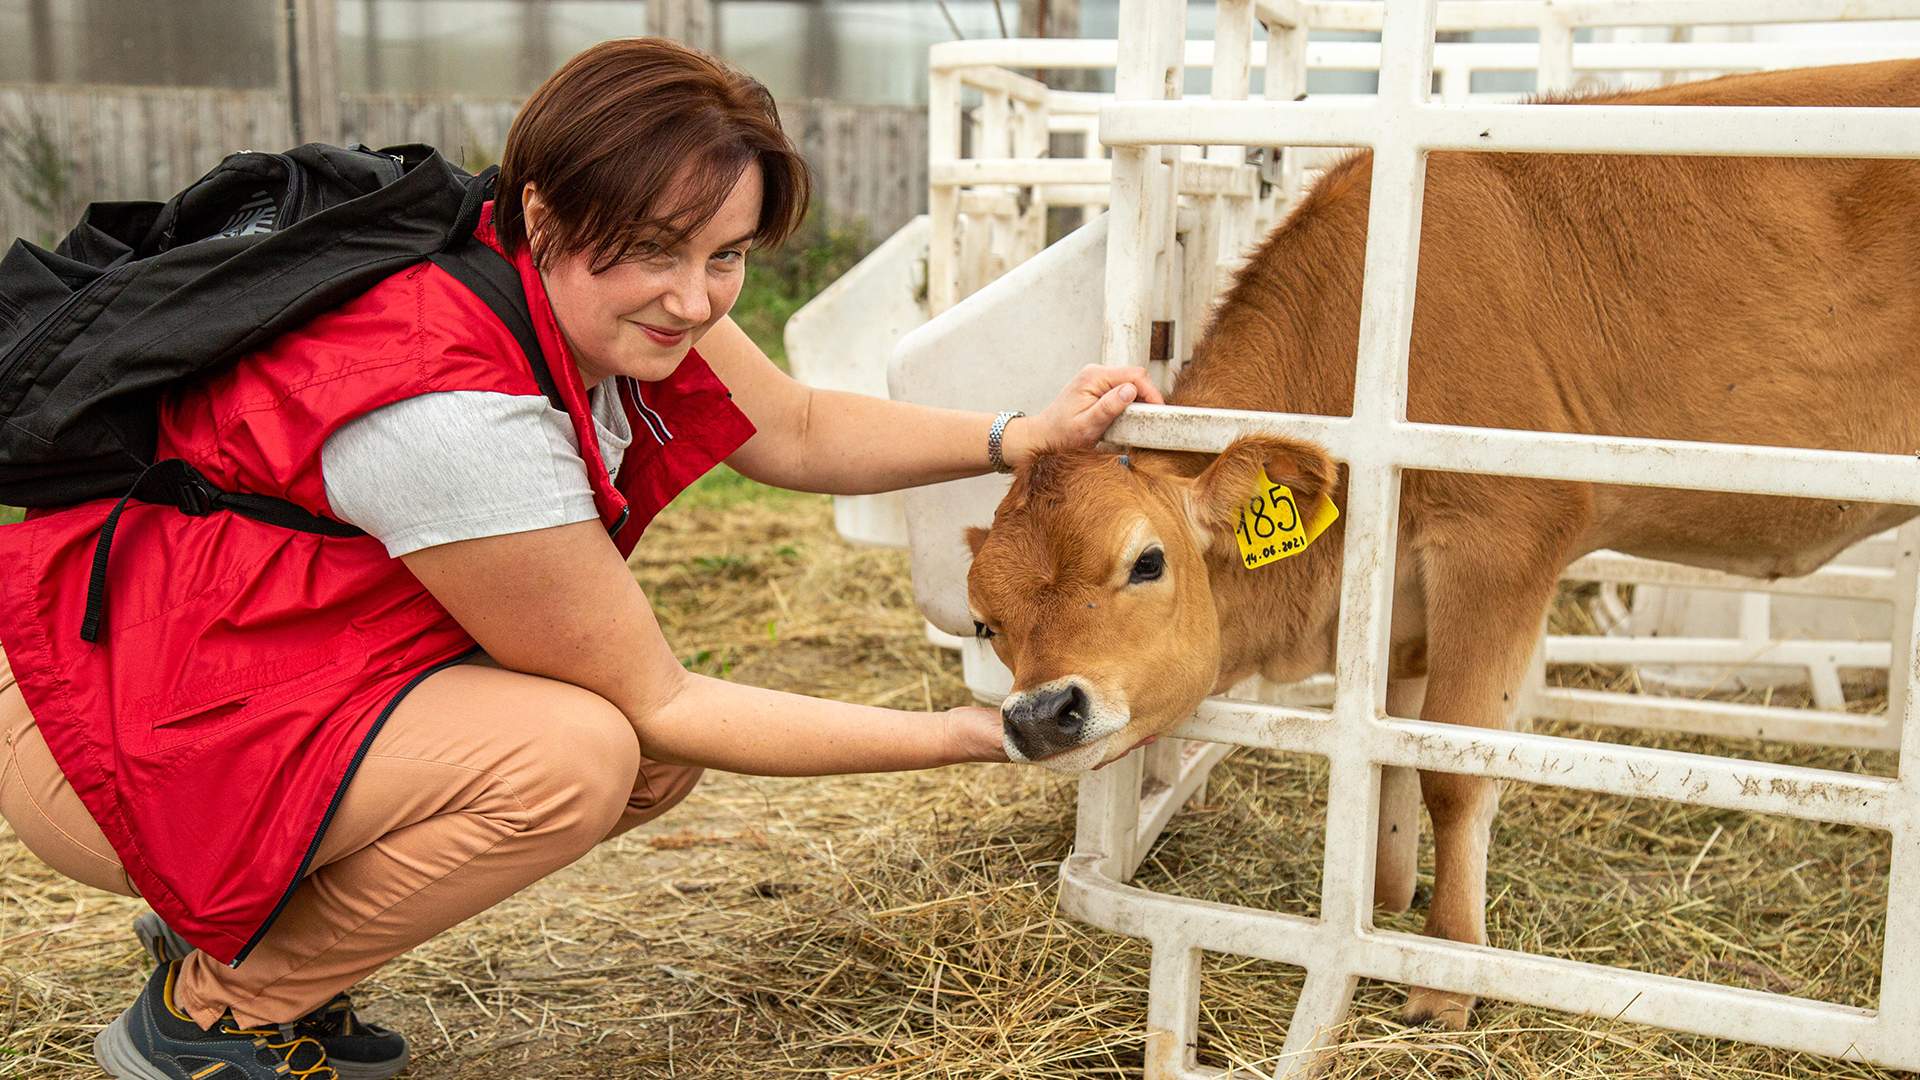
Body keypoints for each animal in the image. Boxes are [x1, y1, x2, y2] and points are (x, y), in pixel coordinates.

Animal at [967, 61, 1920, 1022]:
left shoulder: (1499, 543)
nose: (1039, 715)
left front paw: (1444, 973)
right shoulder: (1399, 602)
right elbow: (1388, 749)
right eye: (985, 619)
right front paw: (1383, 902)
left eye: (1148, 561)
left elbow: (1455, 770)